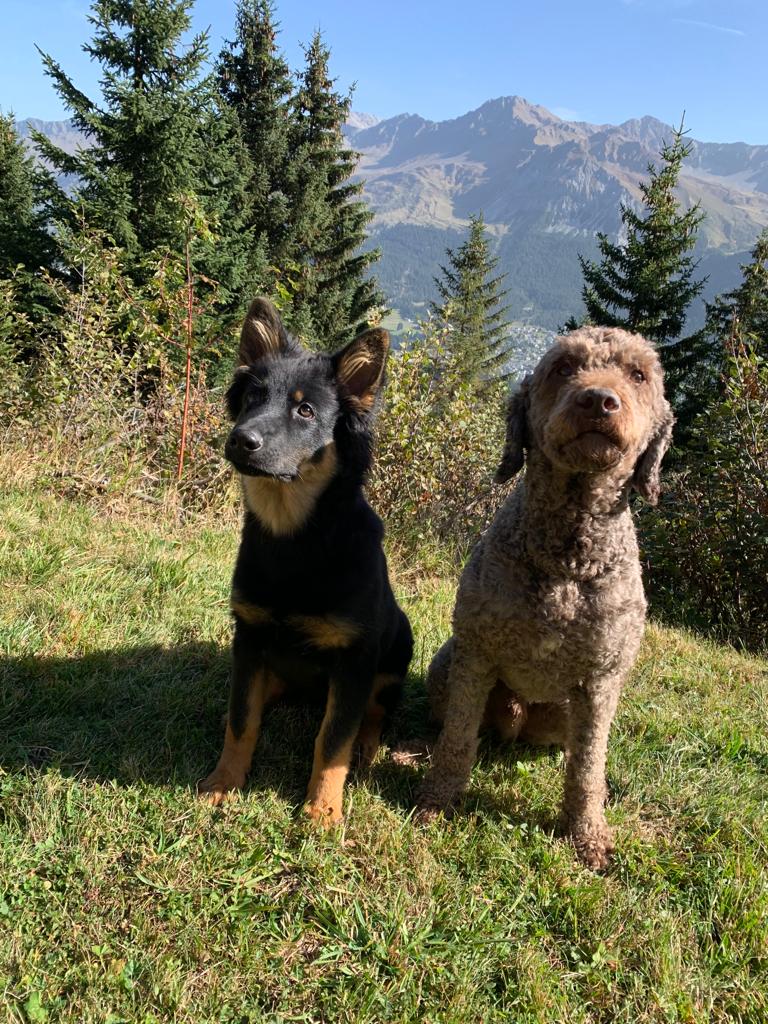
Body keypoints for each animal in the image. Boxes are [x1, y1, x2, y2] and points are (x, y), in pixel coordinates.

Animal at [199, 296, 415, 823]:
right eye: (252, 399)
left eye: (305, 409)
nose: (241, 440)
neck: (296, 540)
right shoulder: (250, 637)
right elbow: (241, 720)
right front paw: (225, 781)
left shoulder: (354, 659)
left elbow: (333, 740)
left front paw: (323, 810)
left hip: (398, 648)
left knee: (374, 714)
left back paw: (367, 747)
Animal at [417, 325, 675, 864]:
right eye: (563, 368)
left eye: (638, 375)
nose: (598, 400)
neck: (566, 555)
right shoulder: (476, 654)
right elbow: (457, 739)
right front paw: (437, 799)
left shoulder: (601, 681)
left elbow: (588, 767)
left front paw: (587, 834)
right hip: (446, 663)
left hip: (562, 712)